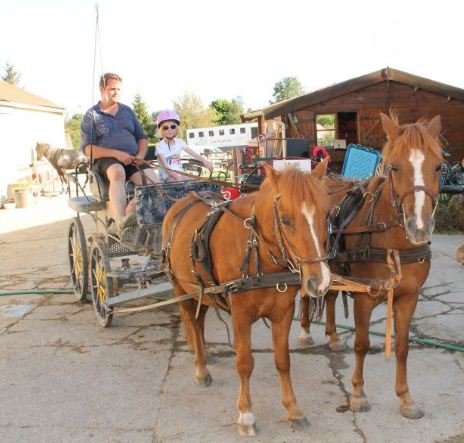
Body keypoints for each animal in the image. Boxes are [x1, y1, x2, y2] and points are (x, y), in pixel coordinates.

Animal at [161, 160, 332, 438]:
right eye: (285, 220)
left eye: (326, 216)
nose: (321, 281)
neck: (258, 253)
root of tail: (183, 201)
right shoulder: (241, 315)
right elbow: (244, 363)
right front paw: (246, 415)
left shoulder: (283, 312)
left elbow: (283, 361)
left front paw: (293, 409)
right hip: (181, 288)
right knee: (191, 321)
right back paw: (200, 367)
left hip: (203, 291)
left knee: (199, 321)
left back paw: (204, 355)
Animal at [300, 113, 444, 420]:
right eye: (394, 167)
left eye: (438, 166)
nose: (419, 227)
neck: (391, 242)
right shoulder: (364, 298)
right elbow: (362, 344)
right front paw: (357, 394)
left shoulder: (408, 297)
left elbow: (402, 347)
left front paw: (405, 398)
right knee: (307, 295)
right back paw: (305, 332)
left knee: (331, 297)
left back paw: (333, 337)